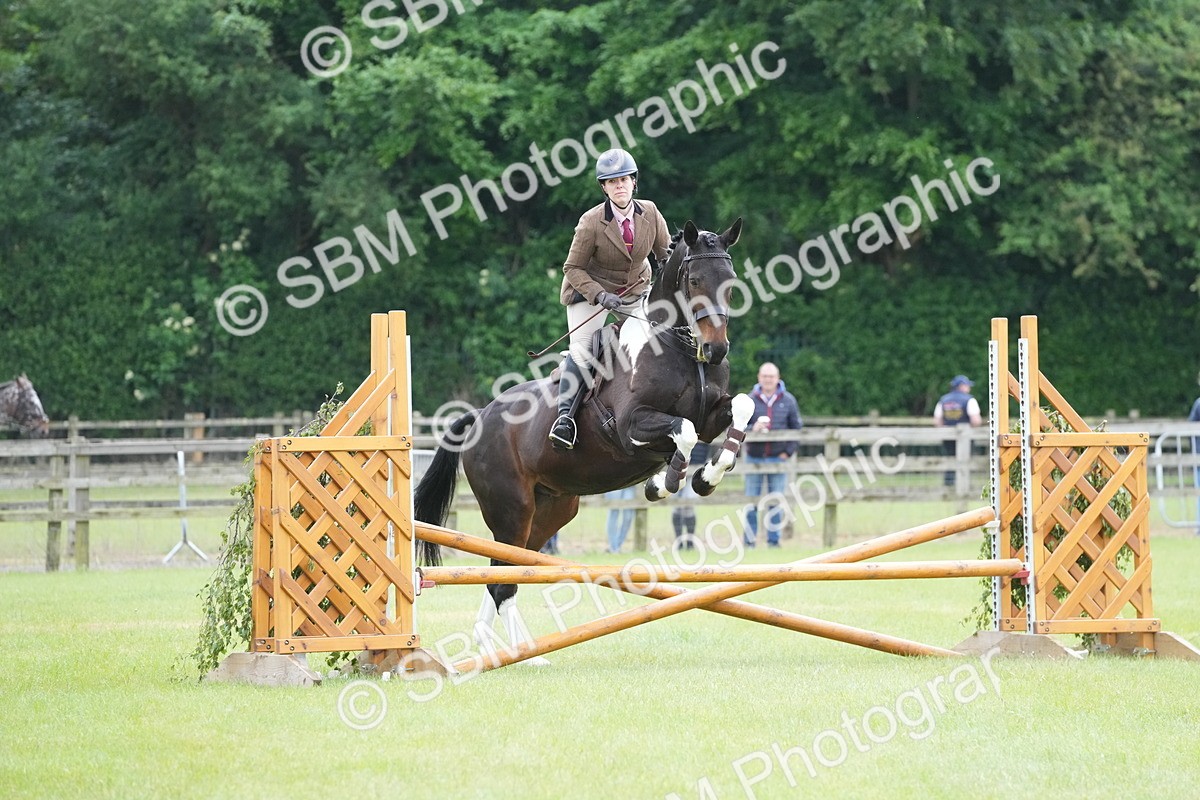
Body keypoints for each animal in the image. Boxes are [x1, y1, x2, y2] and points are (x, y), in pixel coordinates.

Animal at [413, 219, 756, 664]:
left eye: (730, 282)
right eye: (695, 280)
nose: (716, 350)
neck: (677, 348)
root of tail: (479, 418)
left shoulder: (713, 414)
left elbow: (742, 408)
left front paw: (707, 477)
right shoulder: (631, 425)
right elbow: (684, 430)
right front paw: (664, 483)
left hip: (550, 511)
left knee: (505, 571)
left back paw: (512, 652)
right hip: (511, 508)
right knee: (503, 577)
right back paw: (517, 655)